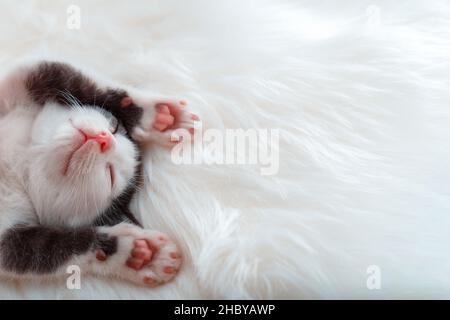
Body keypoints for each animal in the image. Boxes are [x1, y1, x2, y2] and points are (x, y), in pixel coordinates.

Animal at [0, 60, 199, 288]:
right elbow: (49, 71)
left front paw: (137, 253)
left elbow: (41, 249)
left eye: (110, 175)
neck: (24, 158)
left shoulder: (10, 241)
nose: (104, 139)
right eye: (114, 128)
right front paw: (159, 116)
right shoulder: (14, 85)